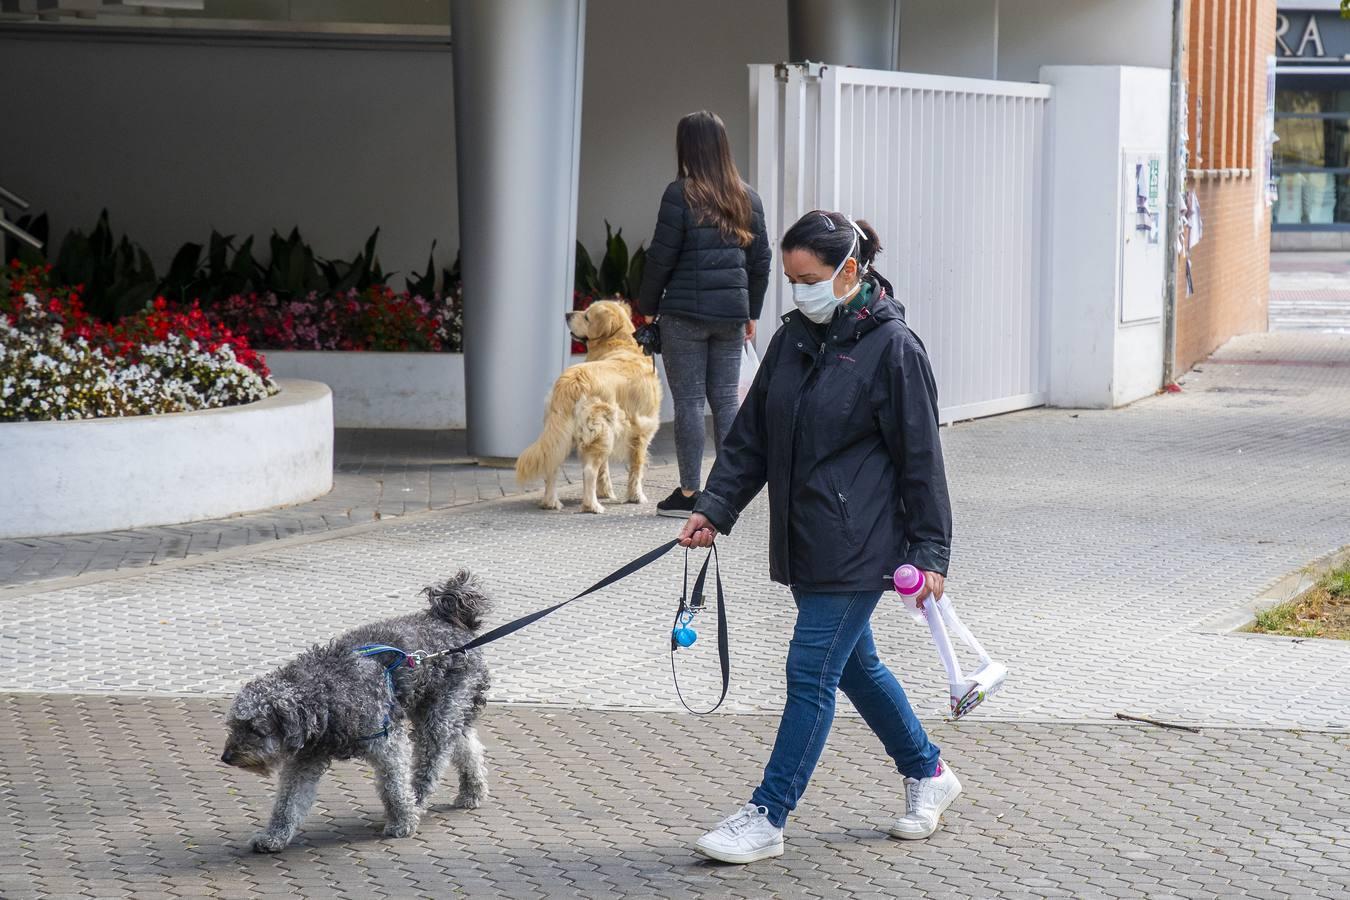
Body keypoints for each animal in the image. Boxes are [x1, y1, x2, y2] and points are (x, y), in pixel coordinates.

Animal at [218, 569, 494, 852]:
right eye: (234, 726)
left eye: (256, 729)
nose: (227, 757)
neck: (324, 694)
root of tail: (448, 620)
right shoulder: (304, 760)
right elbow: (288, 802)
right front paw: (274, 836)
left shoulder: (386, 744)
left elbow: (394, 787)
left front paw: (402, 821)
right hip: (438, 711)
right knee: (467, 748)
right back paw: (472, 791)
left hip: (439, 718)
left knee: (431, 764)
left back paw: (417, 801)